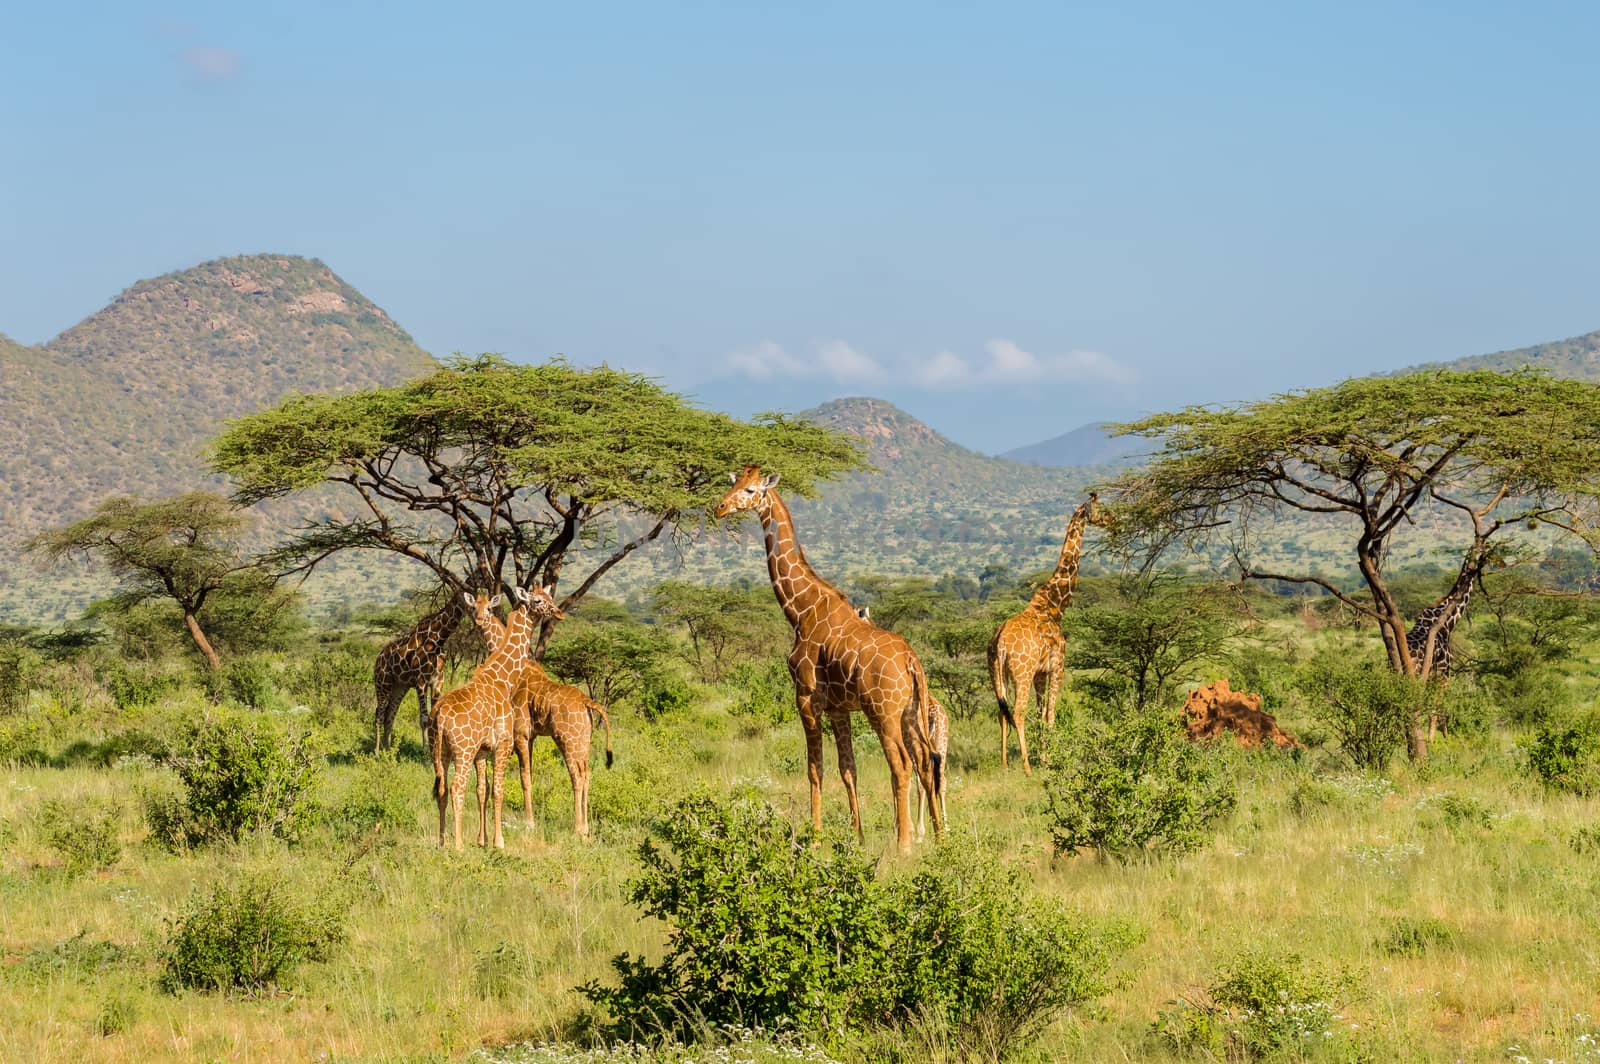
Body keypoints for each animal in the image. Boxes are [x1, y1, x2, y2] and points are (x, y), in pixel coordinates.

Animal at [374, 588, 467, 755]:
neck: (437, 640)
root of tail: (377, 660)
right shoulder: (421, 681)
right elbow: (424, 719)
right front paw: (424, 751)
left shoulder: (438, 681)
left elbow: (436, 716)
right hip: (383, 683)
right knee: (379, 714)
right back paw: (377, 752)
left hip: (399, 687)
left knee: (389, 716)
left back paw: (389, 751)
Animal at [435, 585, 566, 851]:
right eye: (538, 601)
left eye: (550, 597)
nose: (558, 612)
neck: (503, 679)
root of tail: (441, 718)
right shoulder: (503, 743)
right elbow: (498, 789)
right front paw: (498, 841)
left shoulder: (484, 750)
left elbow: (483, 789)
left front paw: (483, 840)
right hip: (463, 750)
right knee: (456, 787)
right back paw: (458, 845)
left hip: (442, 752)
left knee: (442, 789)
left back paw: (442, 842)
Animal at [467, 604, 611, 838]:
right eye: (473, 607)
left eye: (487, 608)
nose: (478, 620)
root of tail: (586, 701)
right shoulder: (531, 737)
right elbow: (530, 775)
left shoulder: (520, 734)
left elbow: (524, 777)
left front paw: (529, 821)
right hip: (583, 741)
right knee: (587, 773)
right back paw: (586, 828)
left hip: (566, 740)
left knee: (576, 776)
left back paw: (577, 829)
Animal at [716, 464, 947, 857]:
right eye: (733, 483)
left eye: (750, 490)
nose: (719, 508)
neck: (800, 609)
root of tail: (911, 661)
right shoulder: (839, 707)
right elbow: (847, 768)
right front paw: (858, 837)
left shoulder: (807, 698)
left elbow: (815, 768)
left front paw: (815, 838)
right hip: (910, 713)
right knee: (926, 763)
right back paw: (939, 838)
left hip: (883, 712)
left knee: (901, 765)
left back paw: (903, 845)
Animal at [985, 492, 1113, 777]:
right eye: (1103, 509)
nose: (1116, 522)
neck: (1054, 605)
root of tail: (1000, 642)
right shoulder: (1057, 667)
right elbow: (1051, 715)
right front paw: (1050, 761)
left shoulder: (1040, 673)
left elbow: (1041, 714)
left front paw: (1045, 758)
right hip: (1021, 673)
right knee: (1018, 713)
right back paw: (1026, 767)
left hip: (996, 672)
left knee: (1002, 712)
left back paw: (1004, 764)